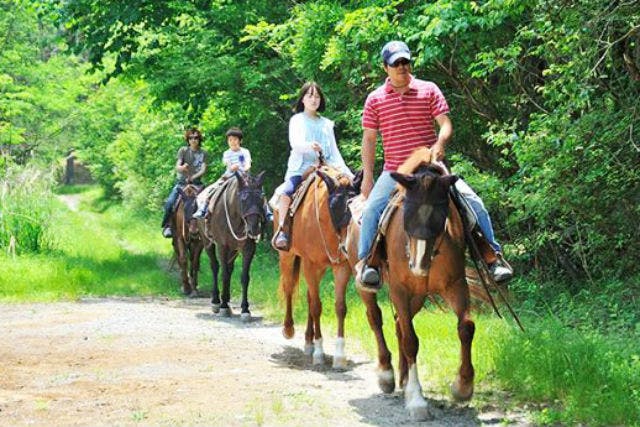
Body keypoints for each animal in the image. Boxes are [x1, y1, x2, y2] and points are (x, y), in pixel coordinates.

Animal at [204, 171, 266, 320]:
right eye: (243, 199)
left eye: (261, 199)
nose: (254, 228)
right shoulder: (222, 246)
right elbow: (224, 274)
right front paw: (223, 306)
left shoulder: (248, 248)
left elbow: (244, 277)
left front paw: (245, 309)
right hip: (208, 243)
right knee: (215, 267)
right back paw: (217, 301)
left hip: (233, 250)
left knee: (229, 268)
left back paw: (226, 300)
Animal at [274, 166, 358, 368]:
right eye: (334, 206)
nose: (348, 246)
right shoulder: (310, 264)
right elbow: (316, 307)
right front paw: (319, 353)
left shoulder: (341, 267)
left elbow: (340, 307)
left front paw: (339, 355)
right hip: (287, 257)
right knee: (289, 288)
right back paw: (289, 328)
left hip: (318, 268)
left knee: (309, 295)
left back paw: (308, 341)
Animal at [344, 164, 476, 422]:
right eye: (406, 215)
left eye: (440, 216)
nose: (417, 265)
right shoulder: (400, 289)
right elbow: (410, 341)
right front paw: (416, 400)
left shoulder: (455, 285)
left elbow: (466, 327)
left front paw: (463, 386)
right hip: (369, 285)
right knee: (375, 318)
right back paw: (386, 374)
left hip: (418, 296)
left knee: (398, 324)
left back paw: (403, 379)